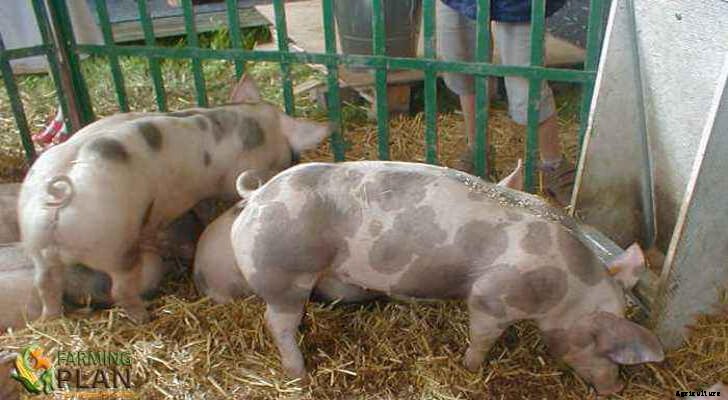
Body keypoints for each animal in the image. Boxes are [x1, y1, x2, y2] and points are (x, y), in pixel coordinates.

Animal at [18, 74, 331, 323]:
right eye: (289, 155)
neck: (252, 123)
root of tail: (59, 196)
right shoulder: (232, 178)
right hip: (113, 245)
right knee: (119, 288)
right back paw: (144, 316)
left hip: (37, 245)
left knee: (45, 284)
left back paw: (50, 320)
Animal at [230, 161, 664, 395]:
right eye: (605, 347)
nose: (615, 388)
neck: (566, 287)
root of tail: (256, 197)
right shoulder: (490, 298)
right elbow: (482, 338)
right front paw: (471, 369)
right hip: (283, 276)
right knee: (276, 322)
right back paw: (299, 373)